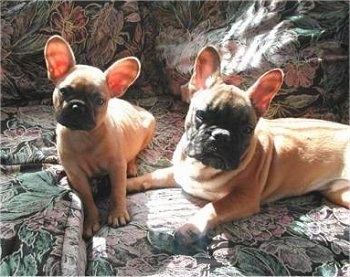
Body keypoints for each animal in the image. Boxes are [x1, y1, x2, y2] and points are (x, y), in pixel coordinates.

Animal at [45, 34, 156, 237]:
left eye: (99, 101)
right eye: (64, 91)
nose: (78, 106)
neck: (83, 136)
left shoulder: (116, 168)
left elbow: (118, 192)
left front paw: (117, 213)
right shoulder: (77, 175)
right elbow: (87, 199)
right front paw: (90, 221)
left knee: (134, 154)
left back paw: (131, 167)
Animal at [127, 45, 348, 244]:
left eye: (247, 129)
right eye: (201, 115)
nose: (221, 135)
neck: (202, 167)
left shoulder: (243, 198)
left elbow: (213, 207)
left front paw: (191, 227)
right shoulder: (179, 172)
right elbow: (153, 175)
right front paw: (128, 184)